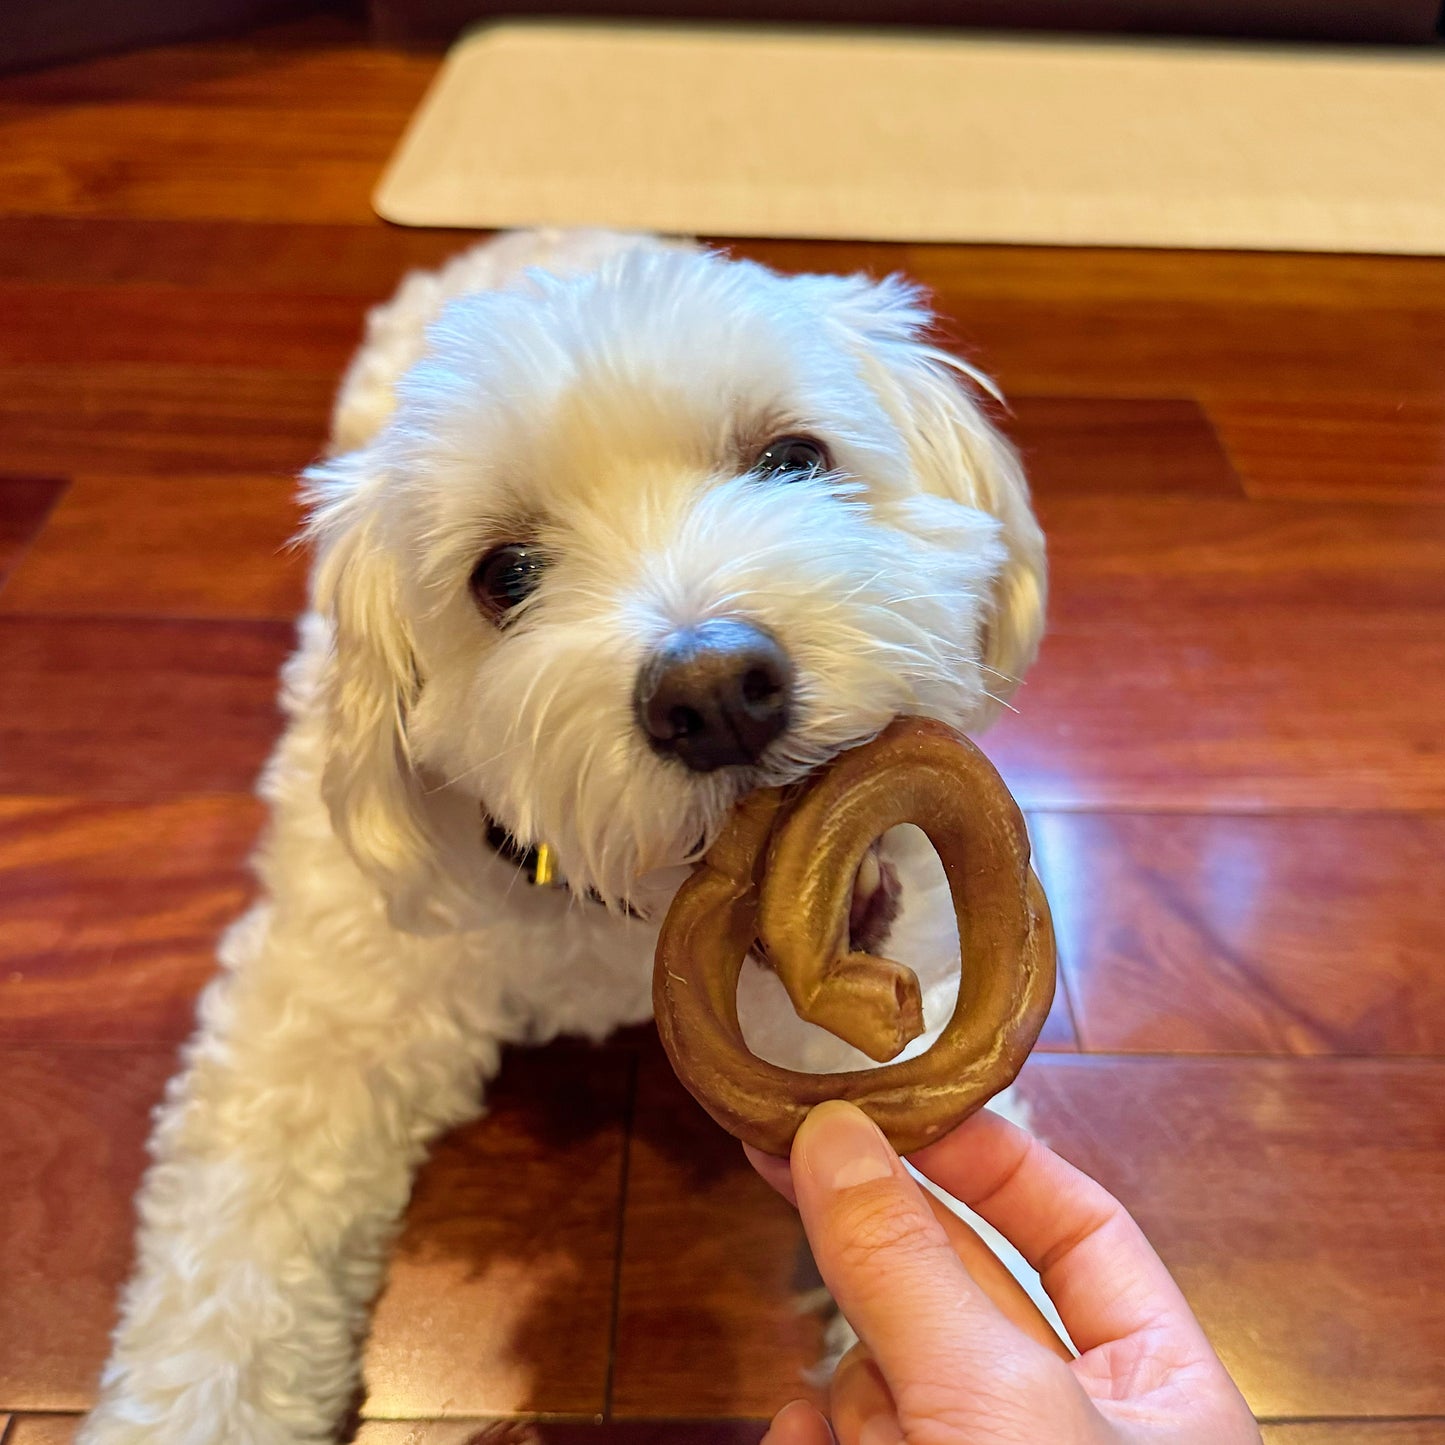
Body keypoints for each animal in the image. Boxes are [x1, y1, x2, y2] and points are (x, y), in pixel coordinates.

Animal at [79, 231, 1046, 1439]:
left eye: (793, 458)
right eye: (503, 575)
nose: (715, 693)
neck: (623, 915)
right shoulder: (317, 1025)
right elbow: (225, 1273)